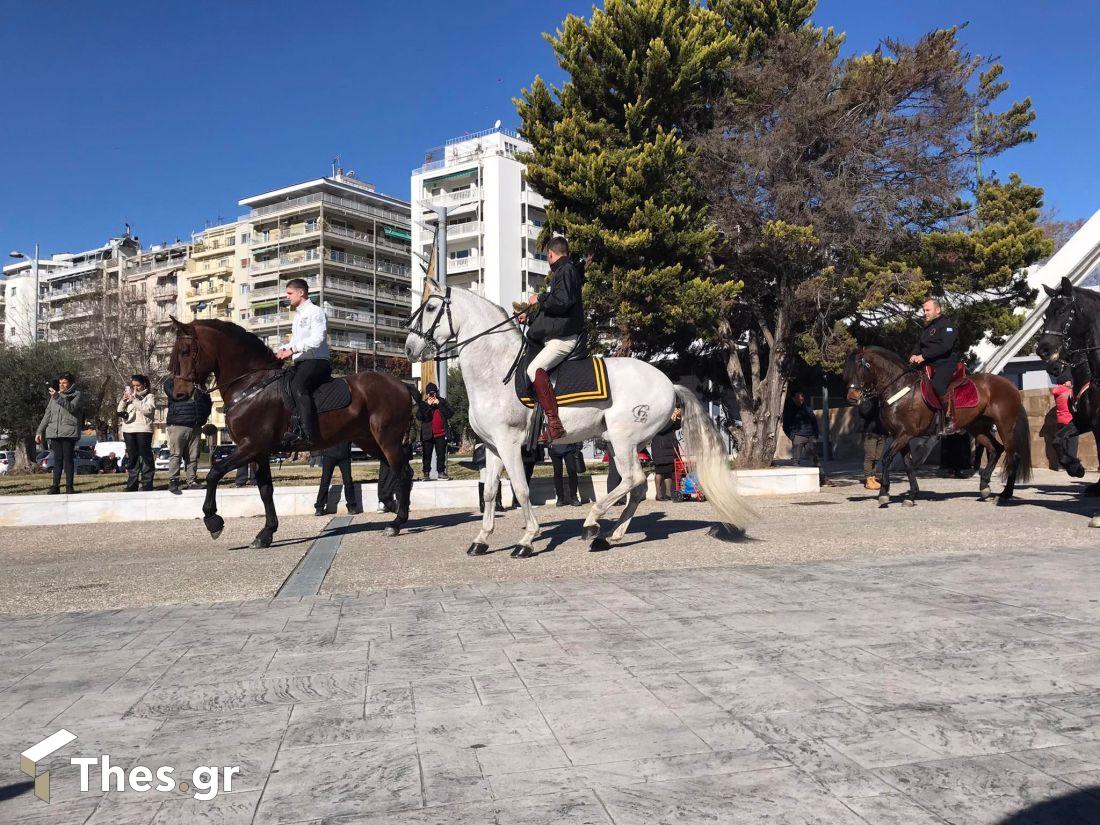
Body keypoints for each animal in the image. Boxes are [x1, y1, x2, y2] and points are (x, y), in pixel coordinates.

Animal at [167, 319, 415, 550]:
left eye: (185, 351)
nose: (179, 394)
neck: (251, 385)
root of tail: (402, 385)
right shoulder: (258, 453)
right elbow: (265, 490)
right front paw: (266, 533)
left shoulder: (250, 446)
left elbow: (214, 472)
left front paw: (213, 521)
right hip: (369, 440)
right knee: (399, 471)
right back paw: (394, 509)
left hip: (387, 439)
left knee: (402, 473)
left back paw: (396, 523)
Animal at [404, 288, 756, 558]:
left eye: (431, 308)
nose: (409, 348)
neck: (496, 371)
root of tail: (670, 383)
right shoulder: (491, 446)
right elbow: (490, 492)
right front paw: (481, 540)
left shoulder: (509, 443)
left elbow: (520, 489)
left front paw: (526, 540)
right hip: (628, 443)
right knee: (638, 487)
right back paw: (610, 536)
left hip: (623, 439)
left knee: (632, 480)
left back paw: (593, 522)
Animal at [840, 345, 1029, 508]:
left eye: (861, 367)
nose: (852, 398)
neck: (900, 389)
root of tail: (1010, 385)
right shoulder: (900, 436)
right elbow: (908, 464)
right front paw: (912, 495)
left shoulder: (904, 435)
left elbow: (886, 459)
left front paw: (883, 494)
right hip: (978, 428)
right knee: (996, 449)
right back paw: (984, 487)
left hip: (1005, 426)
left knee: (1013, 455)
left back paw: (1005, 494)